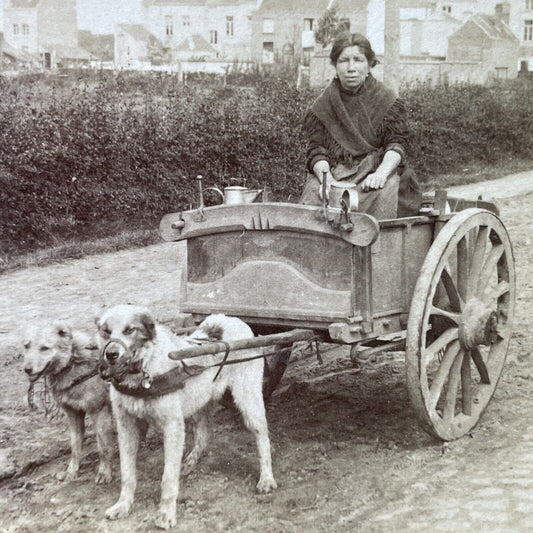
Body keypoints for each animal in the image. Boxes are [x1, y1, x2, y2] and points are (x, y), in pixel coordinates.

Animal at [23, 322, 115, 484]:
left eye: (44, 348)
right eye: (26, 346)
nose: (27, 369)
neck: (73, 362)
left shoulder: (100, 413)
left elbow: (103, 448)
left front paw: (104, 472)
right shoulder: (73, 414)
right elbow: (75, 446)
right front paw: (72, 471)